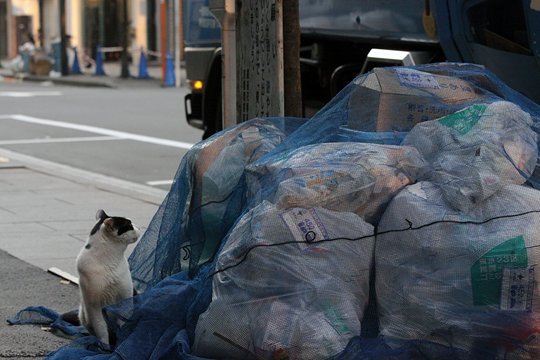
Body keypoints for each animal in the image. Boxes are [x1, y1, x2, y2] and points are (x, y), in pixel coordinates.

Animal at [76, 210, 140, 344]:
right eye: (129, 225)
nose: (139, 227)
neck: (108, 261)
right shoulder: (93, 305)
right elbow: (101, 328)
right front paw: (104, 345)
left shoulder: (125, 295)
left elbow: (123, 322)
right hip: (83, 313)